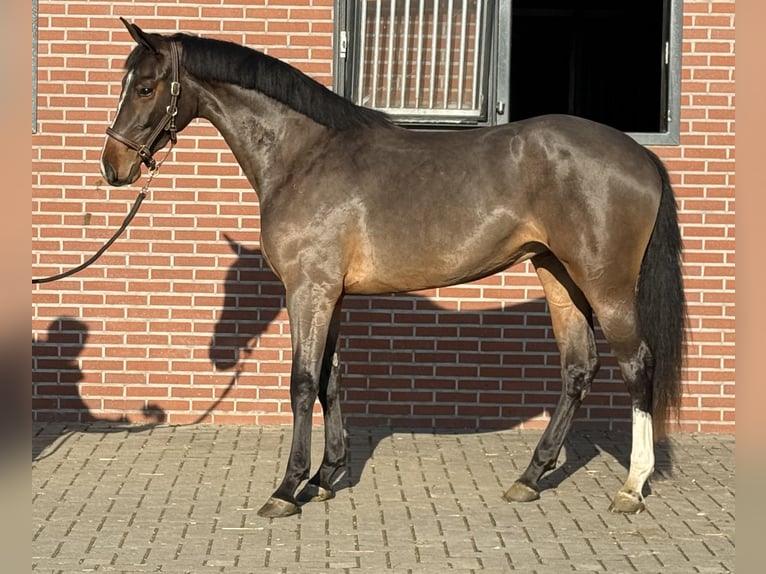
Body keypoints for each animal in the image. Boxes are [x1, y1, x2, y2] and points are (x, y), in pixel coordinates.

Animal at [100, 19, 686, 519]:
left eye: (146, 88)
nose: (113, 167)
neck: (305, 155)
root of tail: (641, 156)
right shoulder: (332, 294)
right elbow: (331, 379)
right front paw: (326, 477)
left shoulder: (308, 291)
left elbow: (302, 381)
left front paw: (288, 488)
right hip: (557, 275)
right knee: (578, 368)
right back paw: (530, 477)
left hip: (605, 283)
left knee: (637, 364)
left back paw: (631, 486)